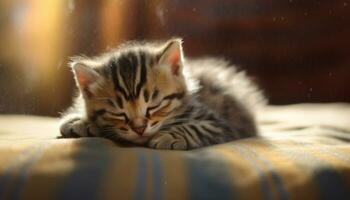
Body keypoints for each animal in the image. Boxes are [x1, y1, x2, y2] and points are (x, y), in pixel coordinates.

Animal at [59, 38, 266, 150]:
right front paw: (80, 121)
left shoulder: (218, 124)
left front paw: (170, 137)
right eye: (119, 113)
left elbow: (195, 127)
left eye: (154, 105)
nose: (139, 128)